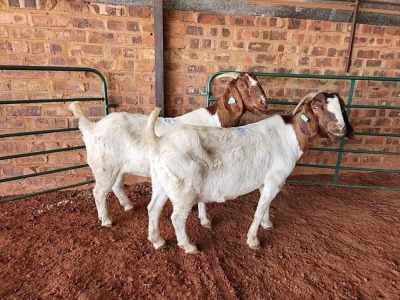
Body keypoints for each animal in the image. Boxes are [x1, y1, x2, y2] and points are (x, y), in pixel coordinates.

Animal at [69, 73, 268, 227]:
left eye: (258, 82)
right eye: (242, 85)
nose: (264, 103)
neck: (216, 121)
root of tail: (91, 128)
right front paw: (205, 220)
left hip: (117, 166)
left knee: (116, 185)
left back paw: (128, 205)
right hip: (103, 166)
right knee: (98, 192)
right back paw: (106, 220)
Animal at [146, 91, 354, 253]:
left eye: (342, 108)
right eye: (316, 107)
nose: (340, 129)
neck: (290, 136)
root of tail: (158, 142)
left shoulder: (266, 181)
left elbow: (266, 205)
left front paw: (267, 224)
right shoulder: (274, 180)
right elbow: (259, 210)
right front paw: (253, 240)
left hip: (162, 183)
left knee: (153, 208)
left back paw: (157, 241)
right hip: (184, 190)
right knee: (177, 218)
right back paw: (189, 246)